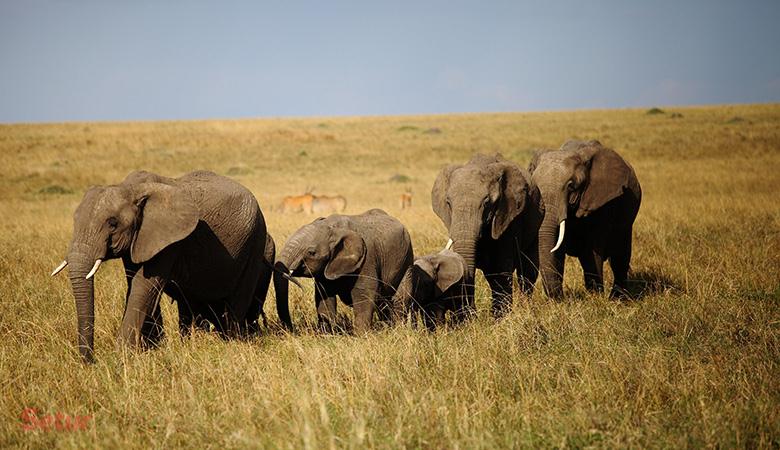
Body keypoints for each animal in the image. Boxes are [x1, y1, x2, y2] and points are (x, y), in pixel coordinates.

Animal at [51, 171, 292, 364]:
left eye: (112, 223)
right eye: (74, 220)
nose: (89, 361)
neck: (130, 188)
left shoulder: (170, 240)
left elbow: (144, 286)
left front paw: (123, 356)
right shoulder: (140, 239)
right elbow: (134, 283)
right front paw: (151, 348)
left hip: (254, 242)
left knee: (237, 301)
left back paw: (231, 342)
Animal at [274, 209, 414, 332]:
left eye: (311, 252)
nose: (291, 329)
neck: (334, 228)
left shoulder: (367, 259)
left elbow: (364, 295)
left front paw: (362, 337)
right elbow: (324, 298)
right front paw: (327, 335)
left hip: (406, 260)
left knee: (398, 300)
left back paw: (398, 330)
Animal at [430, 153, 540, 318]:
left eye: (487, 202)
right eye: (448, 203)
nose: (471, 314)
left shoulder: (509, 217)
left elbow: (501, 267)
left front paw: (500, 319)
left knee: (527, 270)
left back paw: (525, 308)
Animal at [528, 139, 644, 298]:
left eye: (571, 186)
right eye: (534, 186)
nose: (560, 299)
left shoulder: (602, 202)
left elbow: (592, 251)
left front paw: (595, 297)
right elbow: (557, 250)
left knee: (620, 256)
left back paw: (618, 298)